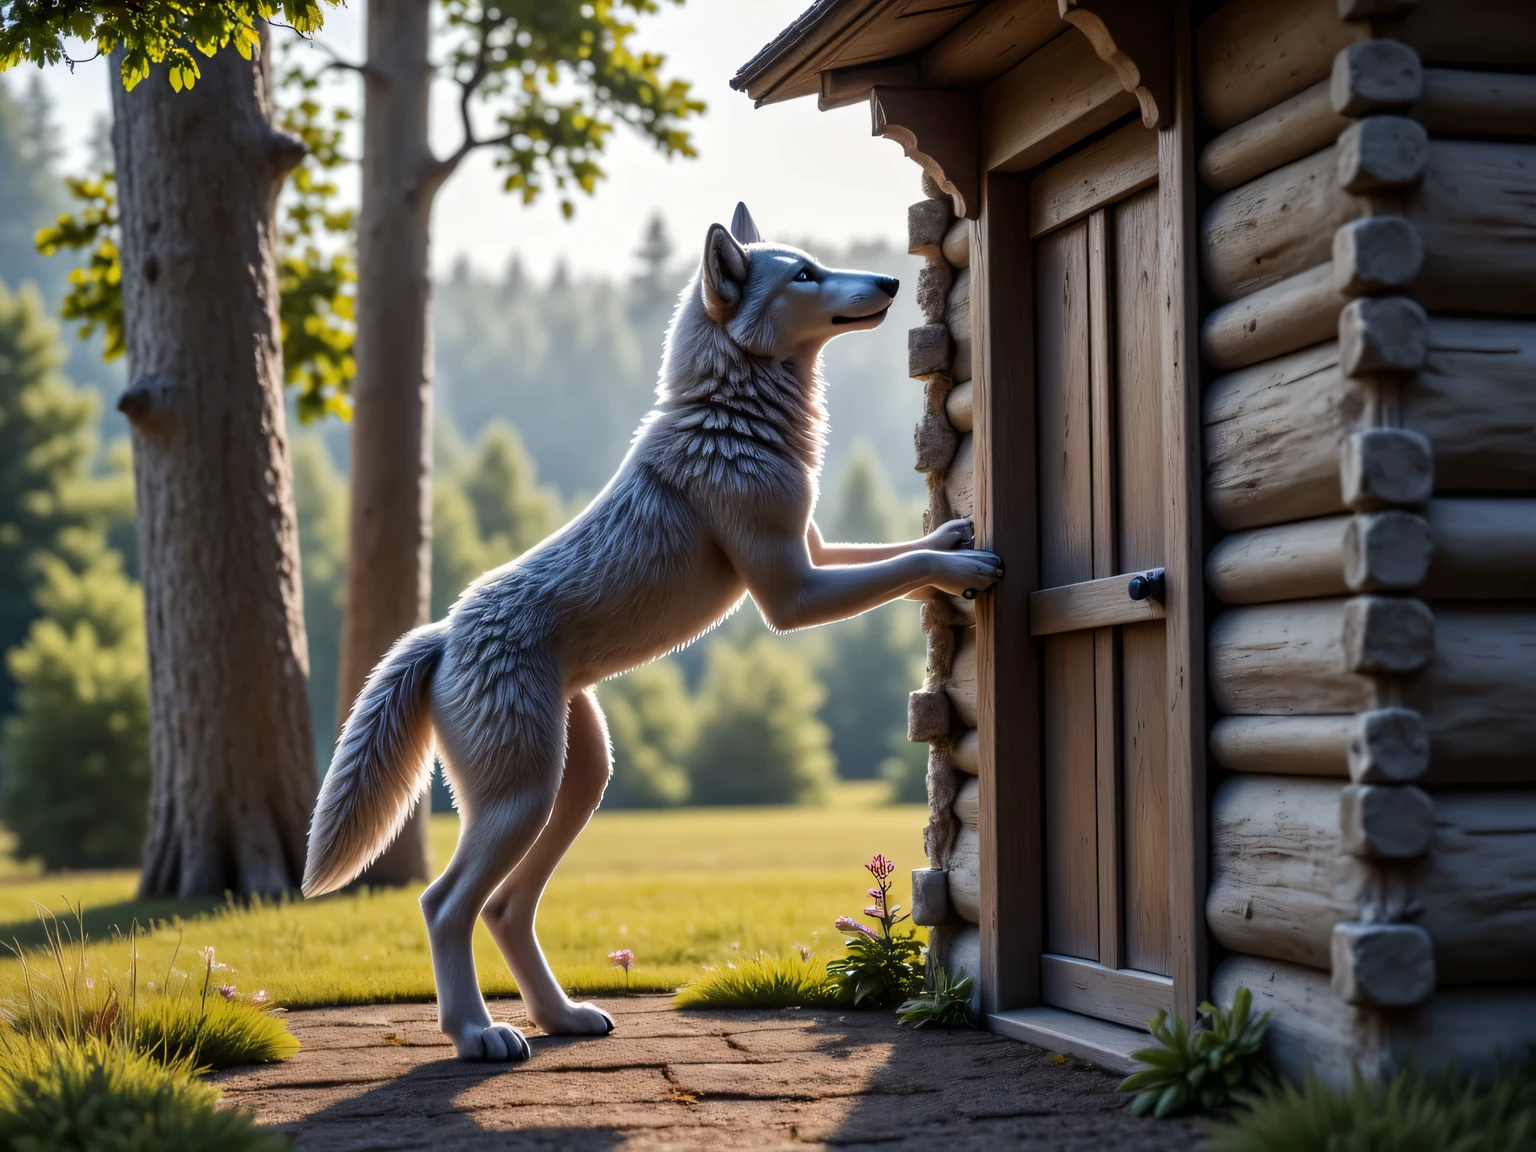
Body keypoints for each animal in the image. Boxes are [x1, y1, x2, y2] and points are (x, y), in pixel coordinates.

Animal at [302, 204, 1003, 1061]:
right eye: (805, 274)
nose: (892, 281)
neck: (733, 414)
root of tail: (441, 635)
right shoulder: (791, 595)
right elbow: (901, 569)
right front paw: (966, 561)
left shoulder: (810, 551)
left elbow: (893, 553)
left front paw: (954, 533)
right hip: (519, 798)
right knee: (444, 905)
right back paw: (477, 1033)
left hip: (575, 784)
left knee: (505, 907)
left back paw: (563, 1018)